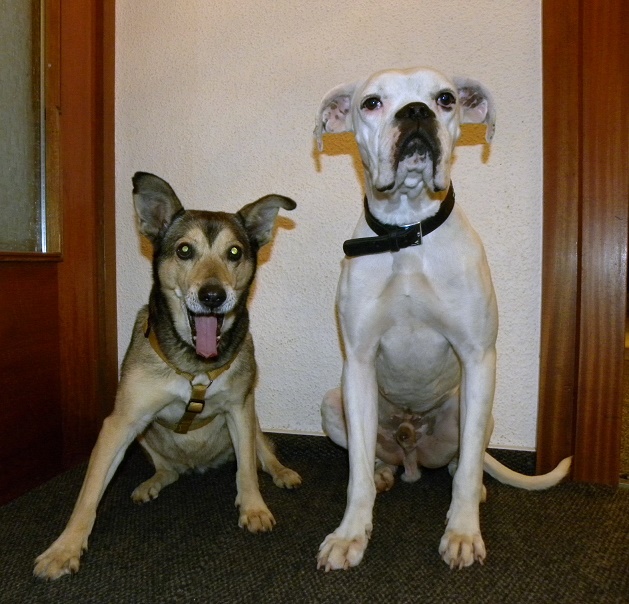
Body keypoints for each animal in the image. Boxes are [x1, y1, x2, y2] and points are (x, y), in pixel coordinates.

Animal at [34, 172, 301, 580]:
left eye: (234, 253)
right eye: (184, 250)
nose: (212, 296)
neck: (195, 365)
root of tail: (197, 466)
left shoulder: (240, 408)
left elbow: (247, 473)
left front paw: (253, 507)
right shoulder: (121, 422)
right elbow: (89, 491)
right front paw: (64, 548)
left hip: (253, 421)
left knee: (260, 455)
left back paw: (281, 472)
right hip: (145, 435)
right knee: (169, 470)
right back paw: (153, 482)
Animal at [314, 67, 571, 571]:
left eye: (446, 98)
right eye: (371, 102)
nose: (416, 112)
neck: (408, 233)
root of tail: (414, 456)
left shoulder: (478, 358)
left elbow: (469, 468)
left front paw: (463, 533)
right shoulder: (358, 363)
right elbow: (355, 475)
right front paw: (350, 534)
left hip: (476, 409)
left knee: (464, 462)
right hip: (334, 402)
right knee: (371, 457)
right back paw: (384, 472)